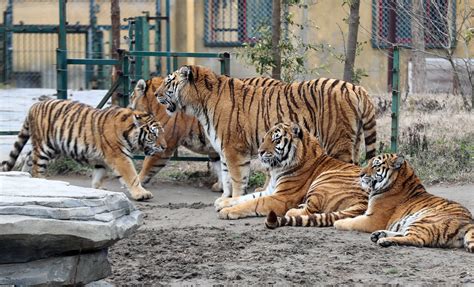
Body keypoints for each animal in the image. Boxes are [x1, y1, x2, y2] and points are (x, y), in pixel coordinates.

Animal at [0, 79, 167, 200]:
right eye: (153, 135)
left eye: (163, 133)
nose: (165, 147)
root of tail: (34, 105)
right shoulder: (120, 157)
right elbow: (131, 176)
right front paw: (141, 194)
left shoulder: (103, 160)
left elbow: (99, 176)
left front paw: (99, 190)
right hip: (44, 148)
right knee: (36, 168)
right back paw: (40, 181)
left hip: (53, 147)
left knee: (29, 157)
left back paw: (27, 178)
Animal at [157, 65, 376, 200]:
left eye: (168, 82)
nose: (156, 94)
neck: (199, 105)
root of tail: (356, 88)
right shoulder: (224, 151)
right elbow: (226, 178)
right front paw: (224, 198)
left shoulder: (234, 149)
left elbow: (237, 179)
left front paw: (235, 199)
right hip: (354, 141)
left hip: (338, 142)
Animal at [214, 122, 366, 223]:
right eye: (264, 138)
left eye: (276, 139)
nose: (260, 152)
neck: (277, 169)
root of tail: (364, 201)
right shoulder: (271, 190)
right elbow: (246, 197)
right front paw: (222, 202)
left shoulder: (282, 197)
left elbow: (253, 203)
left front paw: (227, 211)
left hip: (324, 180)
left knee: (312, 210)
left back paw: (293, 211)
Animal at [334, 154, 474, 253]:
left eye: (375, 165)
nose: (360, 174)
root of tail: (469, 223)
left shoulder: (372, 220)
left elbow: (352, 221)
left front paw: (337, 223)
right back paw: (379, 234)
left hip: (424, 221)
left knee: (417, 240)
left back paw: (385, 240)